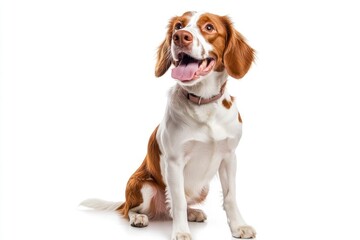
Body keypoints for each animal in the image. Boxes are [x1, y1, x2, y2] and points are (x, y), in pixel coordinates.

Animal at [81, 11, 256, 240]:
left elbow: (230, 196)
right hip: (143, 186)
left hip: (203, 189)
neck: (203, 103)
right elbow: (178, 200)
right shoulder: (174, 162)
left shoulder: (229, 157)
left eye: (209, 27)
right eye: (179, 26)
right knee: (131, 209)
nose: (180, 37)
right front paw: (181, 231)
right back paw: (139, 217)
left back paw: (193, 213)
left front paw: (239, 226)